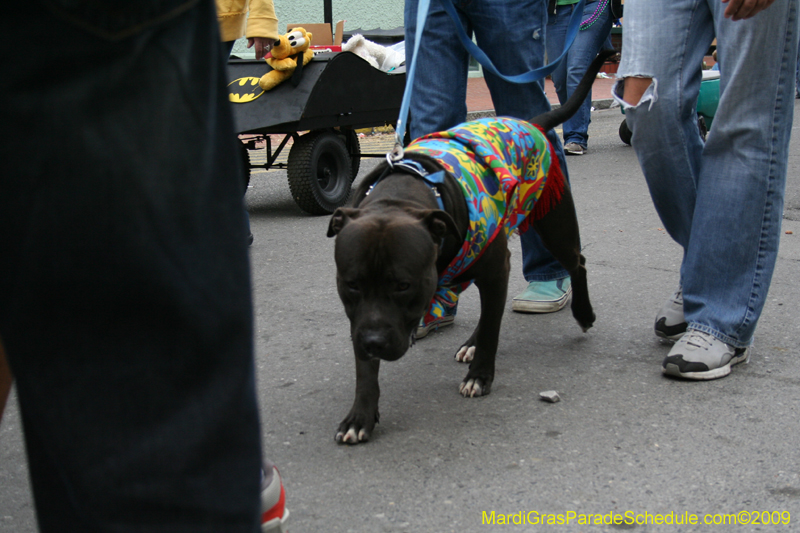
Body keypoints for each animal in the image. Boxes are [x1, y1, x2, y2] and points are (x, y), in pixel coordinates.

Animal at [324, 50, 612, 442]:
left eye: (403, 285)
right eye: (351, 284)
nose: (373, 342)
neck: (404, 195)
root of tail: (530, 123)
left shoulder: (493, 269)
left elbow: (492, 326)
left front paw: (480, 376)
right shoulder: (360, 315)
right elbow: (364, 369)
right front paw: (360, 415)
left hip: (553, 224)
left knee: (575, 262)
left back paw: (583, 313)